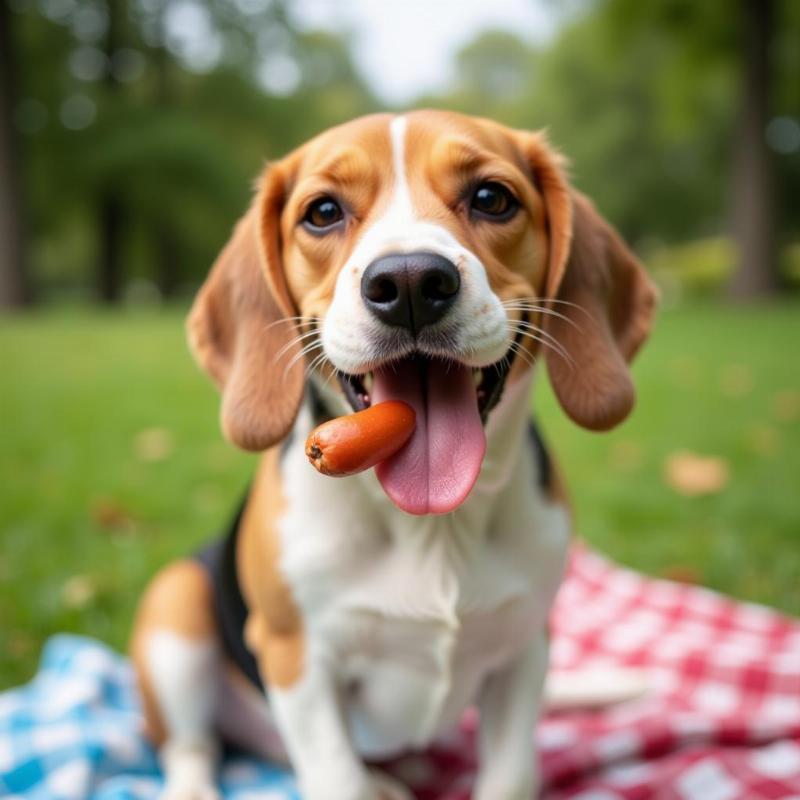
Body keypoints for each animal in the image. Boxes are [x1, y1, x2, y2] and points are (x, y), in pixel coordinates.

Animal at [130, 108, 656, 800]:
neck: (433, 527)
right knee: (193, 746)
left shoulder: (525, 648)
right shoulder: (297, 658)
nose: (409, 281)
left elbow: (511, 773)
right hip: (176, 611)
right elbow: (337, 778)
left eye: (492, 198)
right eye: (323, 212)